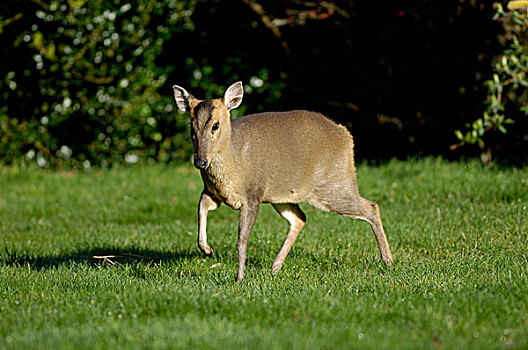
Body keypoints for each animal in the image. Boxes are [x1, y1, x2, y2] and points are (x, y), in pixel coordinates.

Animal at [173, 81, 392, 282]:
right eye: (191, 126)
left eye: (215, 125)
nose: (200, 161)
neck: (233, 164)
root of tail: (345, 135)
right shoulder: (212, 192)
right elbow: (201, 207)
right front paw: (207, 249)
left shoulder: (253, 193)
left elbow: (242, 239)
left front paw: (239, 278)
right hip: (284, 196)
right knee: (299, 218)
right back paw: (275, 267)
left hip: (335, 184)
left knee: (371, 206)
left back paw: (388, 261)